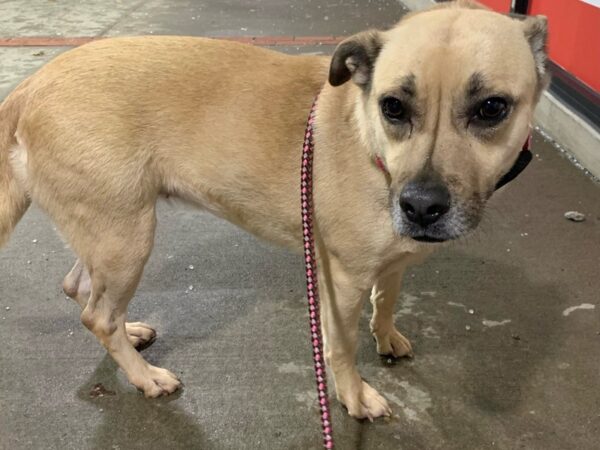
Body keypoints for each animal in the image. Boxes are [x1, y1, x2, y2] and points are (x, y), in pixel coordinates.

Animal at [0, 1, 548, 420]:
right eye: (393, 106)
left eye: (492, 108)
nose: (420, 207)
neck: (370, 140)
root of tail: (27, 88)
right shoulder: (342, 282)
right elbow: (342, 347)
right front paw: (354, 396)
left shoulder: (390, 264)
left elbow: (388, 299)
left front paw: (386, 335)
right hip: (126, 240)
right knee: (98, 315)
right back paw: (144, 376)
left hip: (108, 232)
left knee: (82, 291)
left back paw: (131, 334)